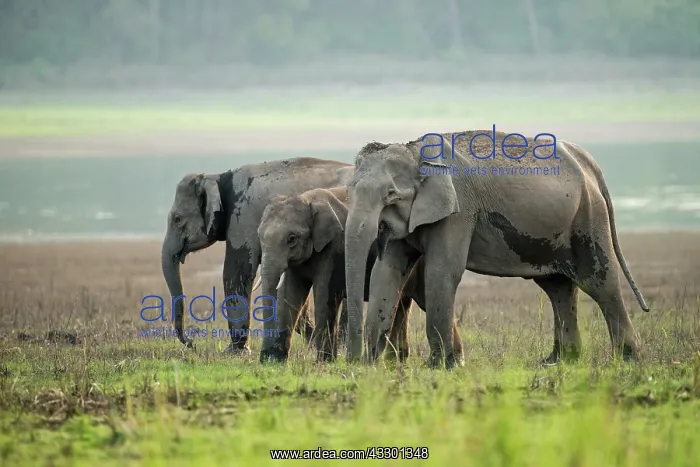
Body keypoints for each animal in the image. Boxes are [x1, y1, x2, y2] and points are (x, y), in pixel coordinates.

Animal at [161, 157, 354, 352]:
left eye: (178, 219)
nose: (191, 344)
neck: (217, 178)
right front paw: (311, 343)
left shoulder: (242, 219)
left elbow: (235, 272)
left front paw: (233, 352)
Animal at [253, 186, 425, 363]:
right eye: (259, 236)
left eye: (292, 239)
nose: (264, 356)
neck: (308, 199)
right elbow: (290, 294)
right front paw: (275, 361)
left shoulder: (334, 250)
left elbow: (324, 296)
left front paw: (323, 362)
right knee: (401, 305)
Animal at [343, 129, 650, 369]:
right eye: (349, 190)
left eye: (391, 195)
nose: (353, 361)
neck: (415, 150)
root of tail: (588, 162)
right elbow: (387, 271)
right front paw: (373, 366)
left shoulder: (459, 212)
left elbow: (442, 272)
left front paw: (439, 366)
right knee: (558, 287)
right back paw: (558, 361)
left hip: (588, 216)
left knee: (599, 282)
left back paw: (628, 360)